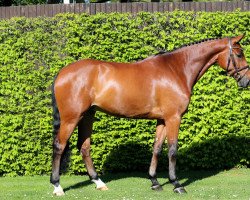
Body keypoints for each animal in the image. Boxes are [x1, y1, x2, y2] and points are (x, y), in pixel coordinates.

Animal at [50, 35, 250, 196]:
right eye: (239, 54)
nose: (246, 81)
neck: (177, 69)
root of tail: (62, 72)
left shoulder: (162, 119)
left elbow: (157, 149)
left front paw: (154, 182)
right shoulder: (173, 118)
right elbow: (172, 150)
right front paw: (176, 184)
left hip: (88, 116)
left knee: (84, 147)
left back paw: (99, 183)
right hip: (71, 118)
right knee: (59, 146)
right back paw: (57, 186)